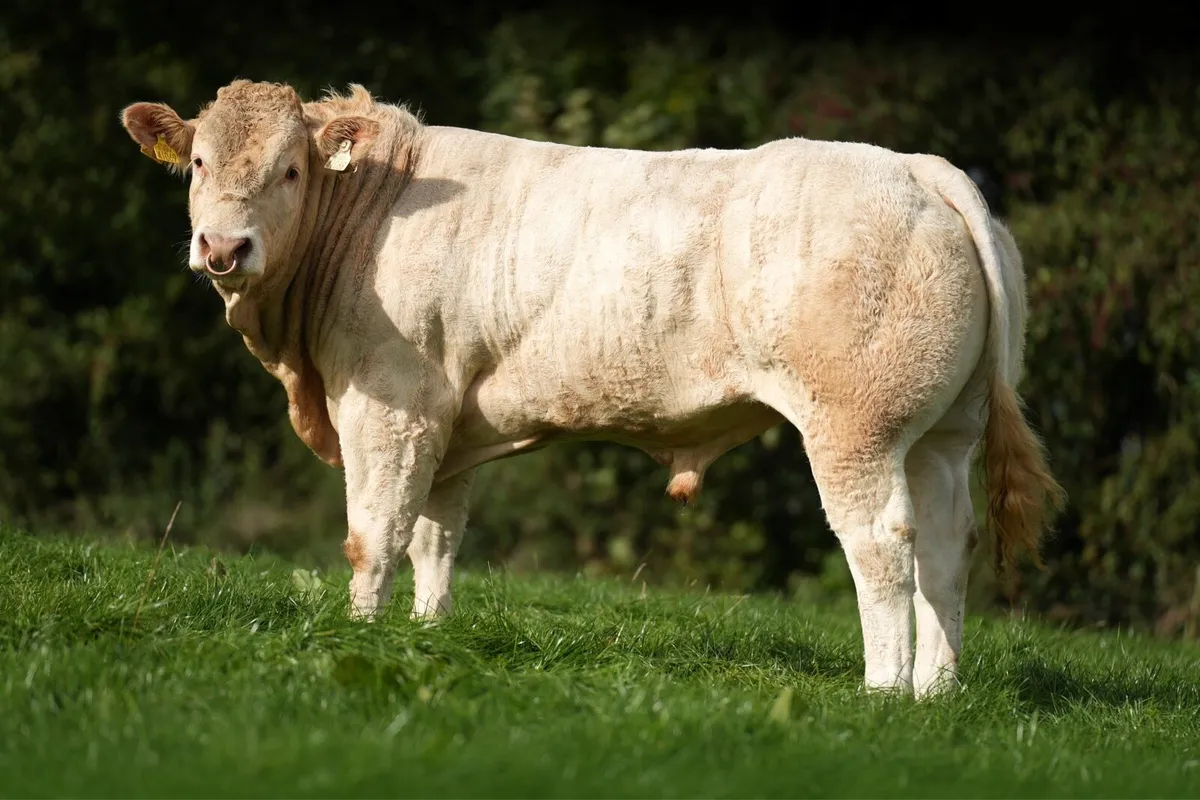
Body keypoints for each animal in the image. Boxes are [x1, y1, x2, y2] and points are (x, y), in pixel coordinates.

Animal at [121, 79, 1065, 698]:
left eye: (290, 169)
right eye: (197, 161)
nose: (223, 248)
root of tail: (917, 168)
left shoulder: (390, 405)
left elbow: (374, 537)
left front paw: (358, 638)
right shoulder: (445, 422)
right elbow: (436, 541)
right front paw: (425, 638)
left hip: (856, 425)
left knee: (881, 544)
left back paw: (883, 690)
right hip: (943, 431)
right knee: (948, 543)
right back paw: (937, 693)